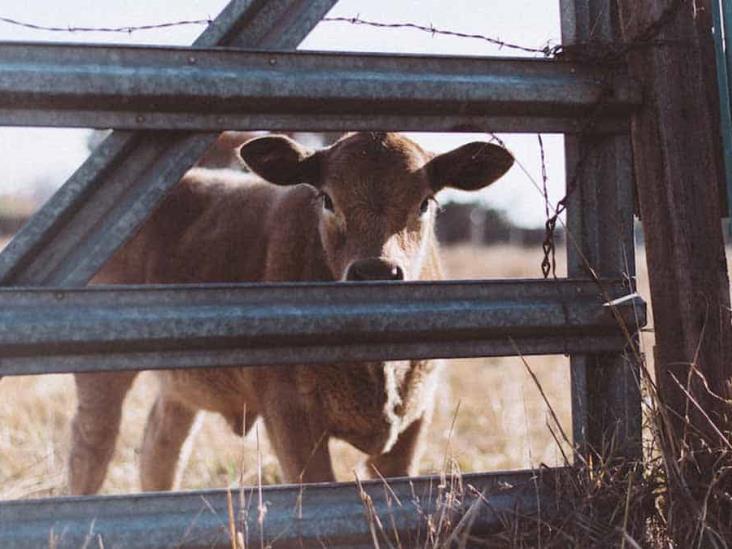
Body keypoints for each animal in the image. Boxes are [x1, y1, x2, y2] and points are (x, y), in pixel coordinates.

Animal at [70, 131, 516, 490]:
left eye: (424, 202)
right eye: (328, 199)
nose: (375, 272)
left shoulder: (413, 419)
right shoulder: (290, 415)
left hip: (182, 386)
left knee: (160, 449)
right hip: (102, 377)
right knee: (91, 449)